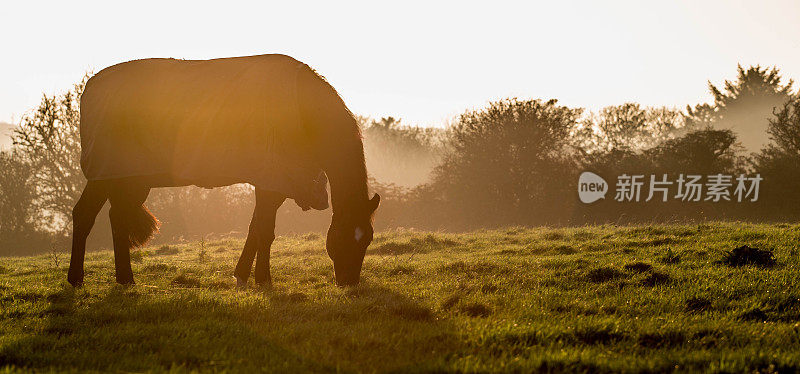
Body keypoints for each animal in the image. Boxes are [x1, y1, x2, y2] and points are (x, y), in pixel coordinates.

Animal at [67, 53, 380, 286]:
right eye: (342, 237)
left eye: (367, 240)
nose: (349, 283)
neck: (303, 109)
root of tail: (90, 88)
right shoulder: (269, 179)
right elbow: (264, 231)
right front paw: (262, 279)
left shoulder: (277, 183)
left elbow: (256, 229)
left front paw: (243, 274)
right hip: (107, 172)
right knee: (85, 215)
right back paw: (77, 278)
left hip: (130, 179)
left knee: (115, 217)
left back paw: (124, 278)